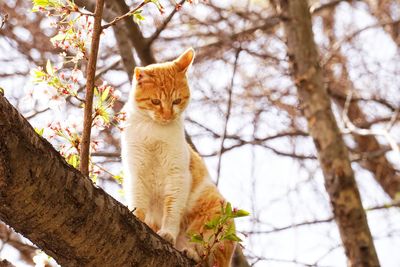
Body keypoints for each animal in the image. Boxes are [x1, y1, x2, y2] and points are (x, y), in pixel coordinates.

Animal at [120, 48, 236, 267]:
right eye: (155, 101)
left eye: (176, 101)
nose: (167, 116)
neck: (154, 131)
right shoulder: (136, 173)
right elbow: (139, 203)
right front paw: (138, 218)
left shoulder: (177, 175)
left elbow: (172, 209)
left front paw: (167, 233)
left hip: (217, 215)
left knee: (208, 256)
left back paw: (190, 252)